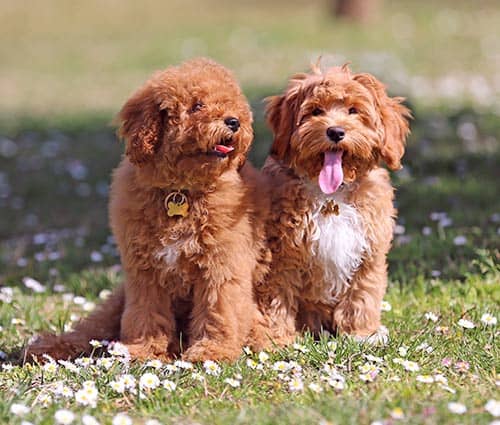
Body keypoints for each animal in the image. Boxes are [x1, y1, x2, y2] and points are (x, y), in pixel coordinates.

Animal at [24, 58, 270, 362]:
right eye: (197, 105)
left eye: (231, 103)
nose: (234, 122)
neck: (181, 191)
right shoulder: (146, 272)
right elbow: (146, 313)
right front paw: (146, 350)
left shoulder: (221, 267)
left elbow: (219, 310)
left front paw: (212, 351)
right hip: (116, 302)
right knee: (88, 330)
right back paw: (45, 348)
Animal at [256, 64, 412, 346]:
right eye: (316, 111)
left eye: (354, 110)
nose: (336, 131)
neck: (332, 196)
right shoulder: (283, 254)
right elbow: (278, 295)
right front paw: (278, 338)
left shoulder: (369, 250)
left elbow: (362, 293)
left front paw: (362, 334)